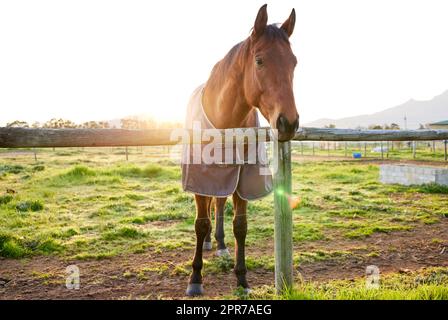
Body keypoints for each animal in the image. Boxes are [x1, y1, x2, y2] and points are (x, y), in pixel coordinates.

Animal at [182, 3, 298, 296]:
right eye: (259, 61)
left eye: (294, 62)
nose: (289, 122)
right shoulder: (200, 179)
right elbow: (200, 224)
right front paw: (195, 279)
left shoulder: (242, 179)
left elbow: (240, 226)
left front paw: (242, 280)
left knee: (219, 204)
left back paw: (221, 245)